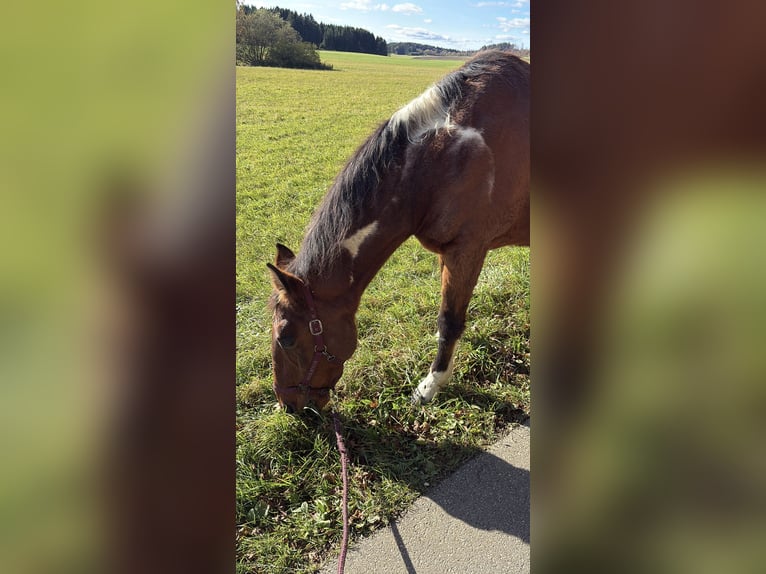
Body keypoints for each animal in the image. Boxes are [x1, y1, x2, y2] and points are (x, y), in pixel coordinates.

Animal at [267, 50, 529, 413]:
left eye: (287, 338)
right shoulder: (448, 254)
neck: (444, 157)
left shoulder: (467, 250)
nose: (289, 407)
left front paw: (429, 387)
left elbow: (449, 321)